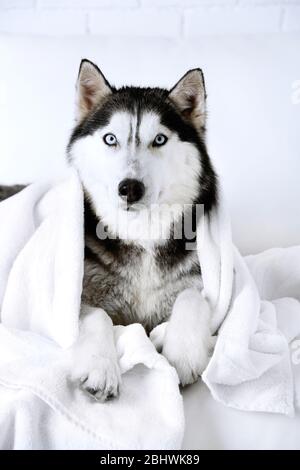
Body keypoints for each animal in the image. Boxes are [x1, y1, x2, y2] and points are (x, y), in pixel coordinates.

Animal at [0, 60, 218, 402]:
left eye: (159, 140)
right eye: (110, 139)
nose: (130, 188)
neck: (140, 234)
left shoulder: (203, 283)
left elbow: (193, 298)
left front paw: (183, 353)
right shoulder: (73, 300)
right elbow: (97, 317)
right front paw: (101, 368)